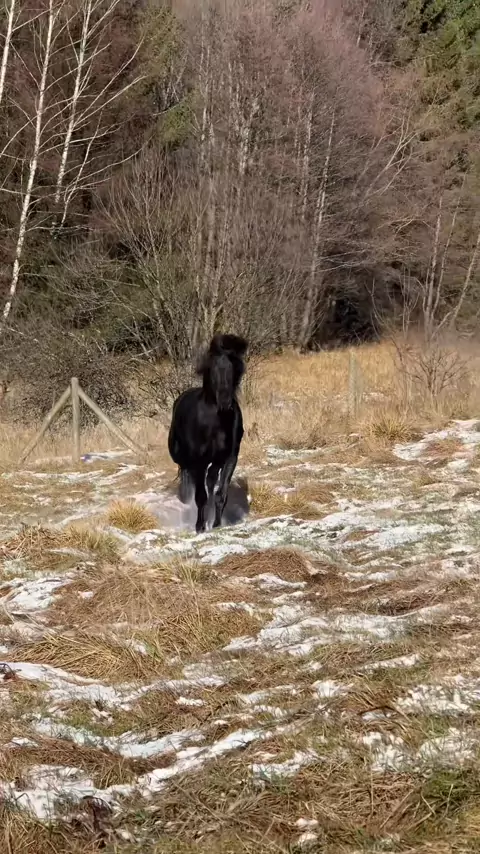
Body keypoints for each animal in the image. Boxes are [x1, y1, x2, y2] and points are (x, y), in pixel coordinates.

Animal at [168, 333, 248, 534]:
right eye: (213, 368)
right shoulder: (198, 461)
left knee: (211, 481)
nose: (225, 403)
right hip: (186, 460)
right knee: (190, 483)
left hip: (215, 461)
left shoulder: (229, 458)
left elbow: (220, 493)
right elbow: (200, 496)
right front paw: (199, 527)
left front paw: (217, 523)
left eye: (234, 367)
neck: (216, 421)